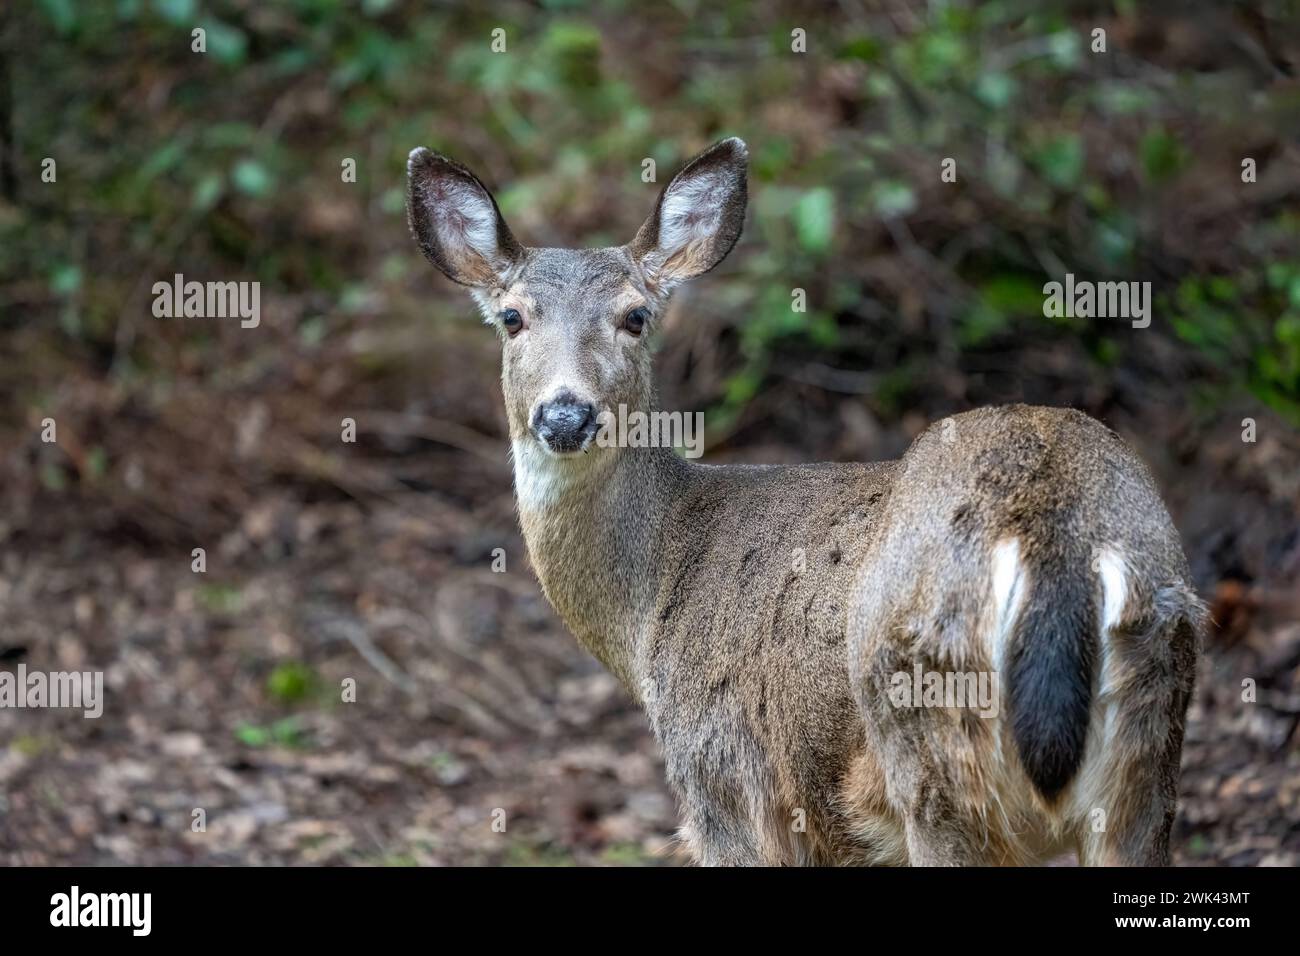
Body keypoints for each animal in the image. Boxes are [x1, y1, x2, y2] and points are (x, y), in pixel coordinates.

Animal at [408, 136, 1206, 868]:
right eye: (512, 318)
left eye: (635, 316)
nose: (566, 415)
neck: (650, 597)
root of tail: (1052, 530)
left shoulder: (728, 785)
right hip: (1152, 738)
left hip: (927, 733)